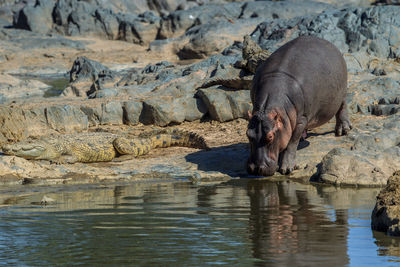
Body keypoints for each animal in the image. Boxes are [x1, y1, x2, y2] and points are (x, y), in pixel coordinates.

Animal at [245, 36, 352, 178]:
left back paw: (343, 130)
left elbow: (291, 142)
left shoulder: (302, 119)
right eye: (248, 135)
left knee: (342, 106)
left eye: (270, 137)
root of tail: (327, 42)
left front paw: (286, 169)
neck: (267, 109)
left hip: (341, 93)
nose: (256, 168)